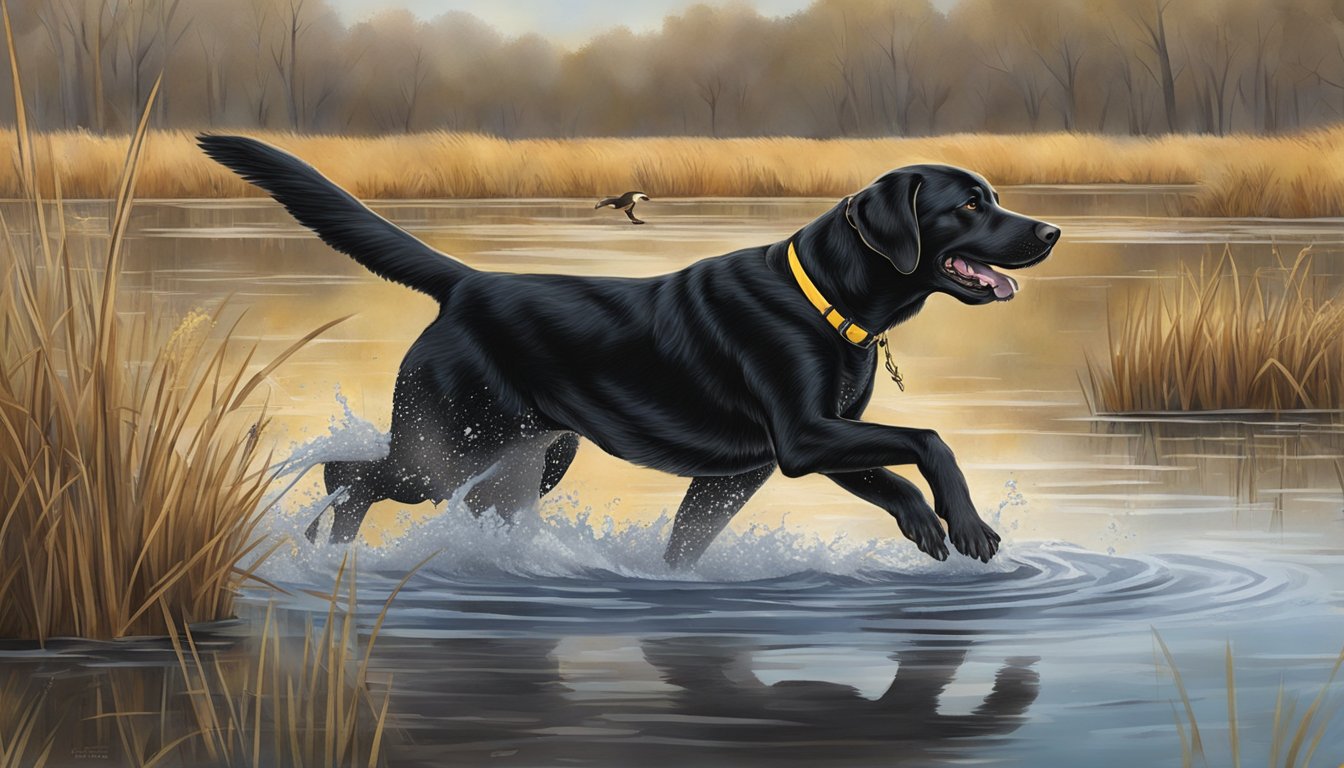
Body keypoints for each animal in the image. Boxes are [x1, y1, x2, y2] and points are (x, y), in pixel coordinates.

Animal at [198, 136, 1059, 570]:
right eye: (969, 205)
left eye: (993, 196)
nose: (1050, 231)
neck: (827, 298)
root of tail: (468, 281)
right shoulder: (806, 437)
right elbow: (928, 440)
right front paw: (964, 526)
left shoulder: (781, 458)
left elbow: (882, 473)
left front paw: (926, 524)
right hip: (443, 448)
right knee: (346, 474)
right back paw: (332, 550)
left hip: (531, 456)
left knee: (451, 501)